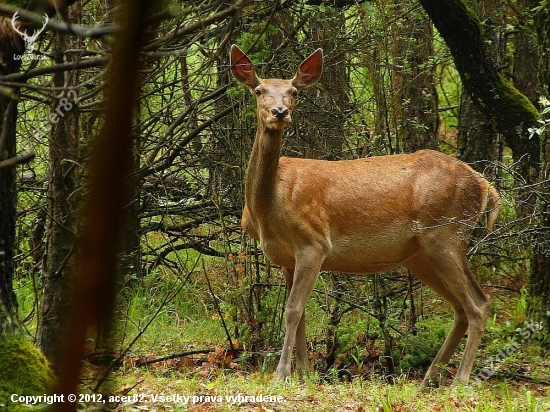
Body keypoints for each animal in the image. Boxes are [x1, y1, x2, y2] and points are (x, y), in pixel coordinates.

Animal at [231, 45, 502, 386]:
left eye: (294, 92)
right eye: (259, 90)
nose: (280, 112)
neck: (269, 207)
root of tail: (484, 184)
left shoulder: (314, 242)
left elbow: (292, 310)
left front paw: (283, 375)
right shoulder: (286, 257)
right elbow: (301, 313)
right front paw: (305, 374)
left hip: (447, 233)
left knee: (478, 304)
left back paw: (459, 380)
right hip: (421, 253)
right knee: (461, 307)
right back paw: (427, 380)